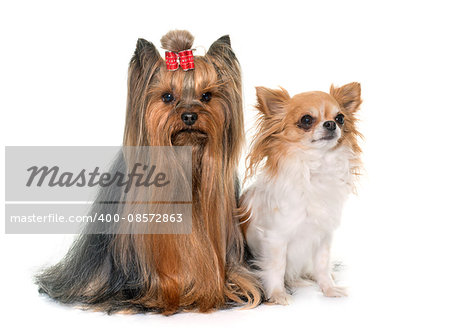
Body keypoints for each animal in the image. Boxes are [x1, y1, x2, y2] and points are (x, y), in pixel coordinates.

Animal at [239, 83, 362, 304]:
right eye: (306, 120)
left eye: (340, 118)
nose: (331, 124)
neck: (315, 167)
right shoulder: (276, 238)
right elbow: (277, 267)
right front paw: (277, 294)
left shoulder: (323, 236)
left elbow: (322, 264)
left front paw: (328, 288)